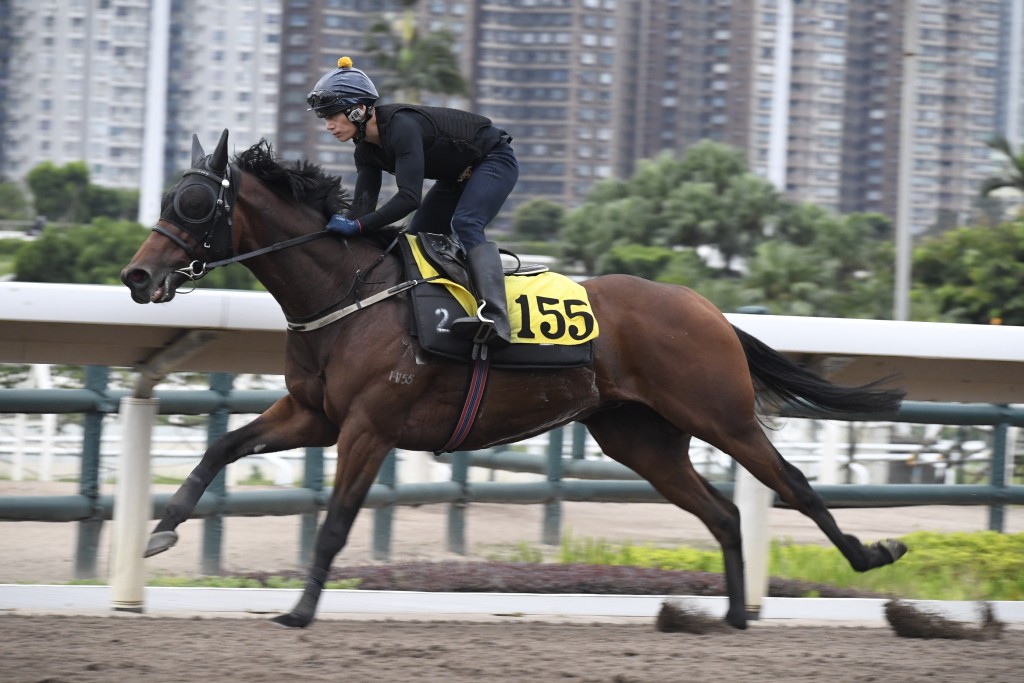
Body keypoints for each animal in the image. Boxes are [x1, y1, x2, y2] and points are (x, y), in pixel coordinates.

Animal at [121, 131, 913, 634]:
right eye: (166, 198)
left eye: (194, 205)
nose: (138, 277)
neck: (349, 294)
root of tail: (707, 308)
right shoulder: (312, 414)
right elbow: (220, 449)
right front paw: (160, 532)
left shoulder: (369, 427)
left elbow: (336, 523)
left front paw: (299, 610)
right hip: (641, 440)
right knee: (721, 514)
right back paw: (732, 615)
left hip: (722, 415)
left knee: (793, 483)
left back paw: (871, 556)